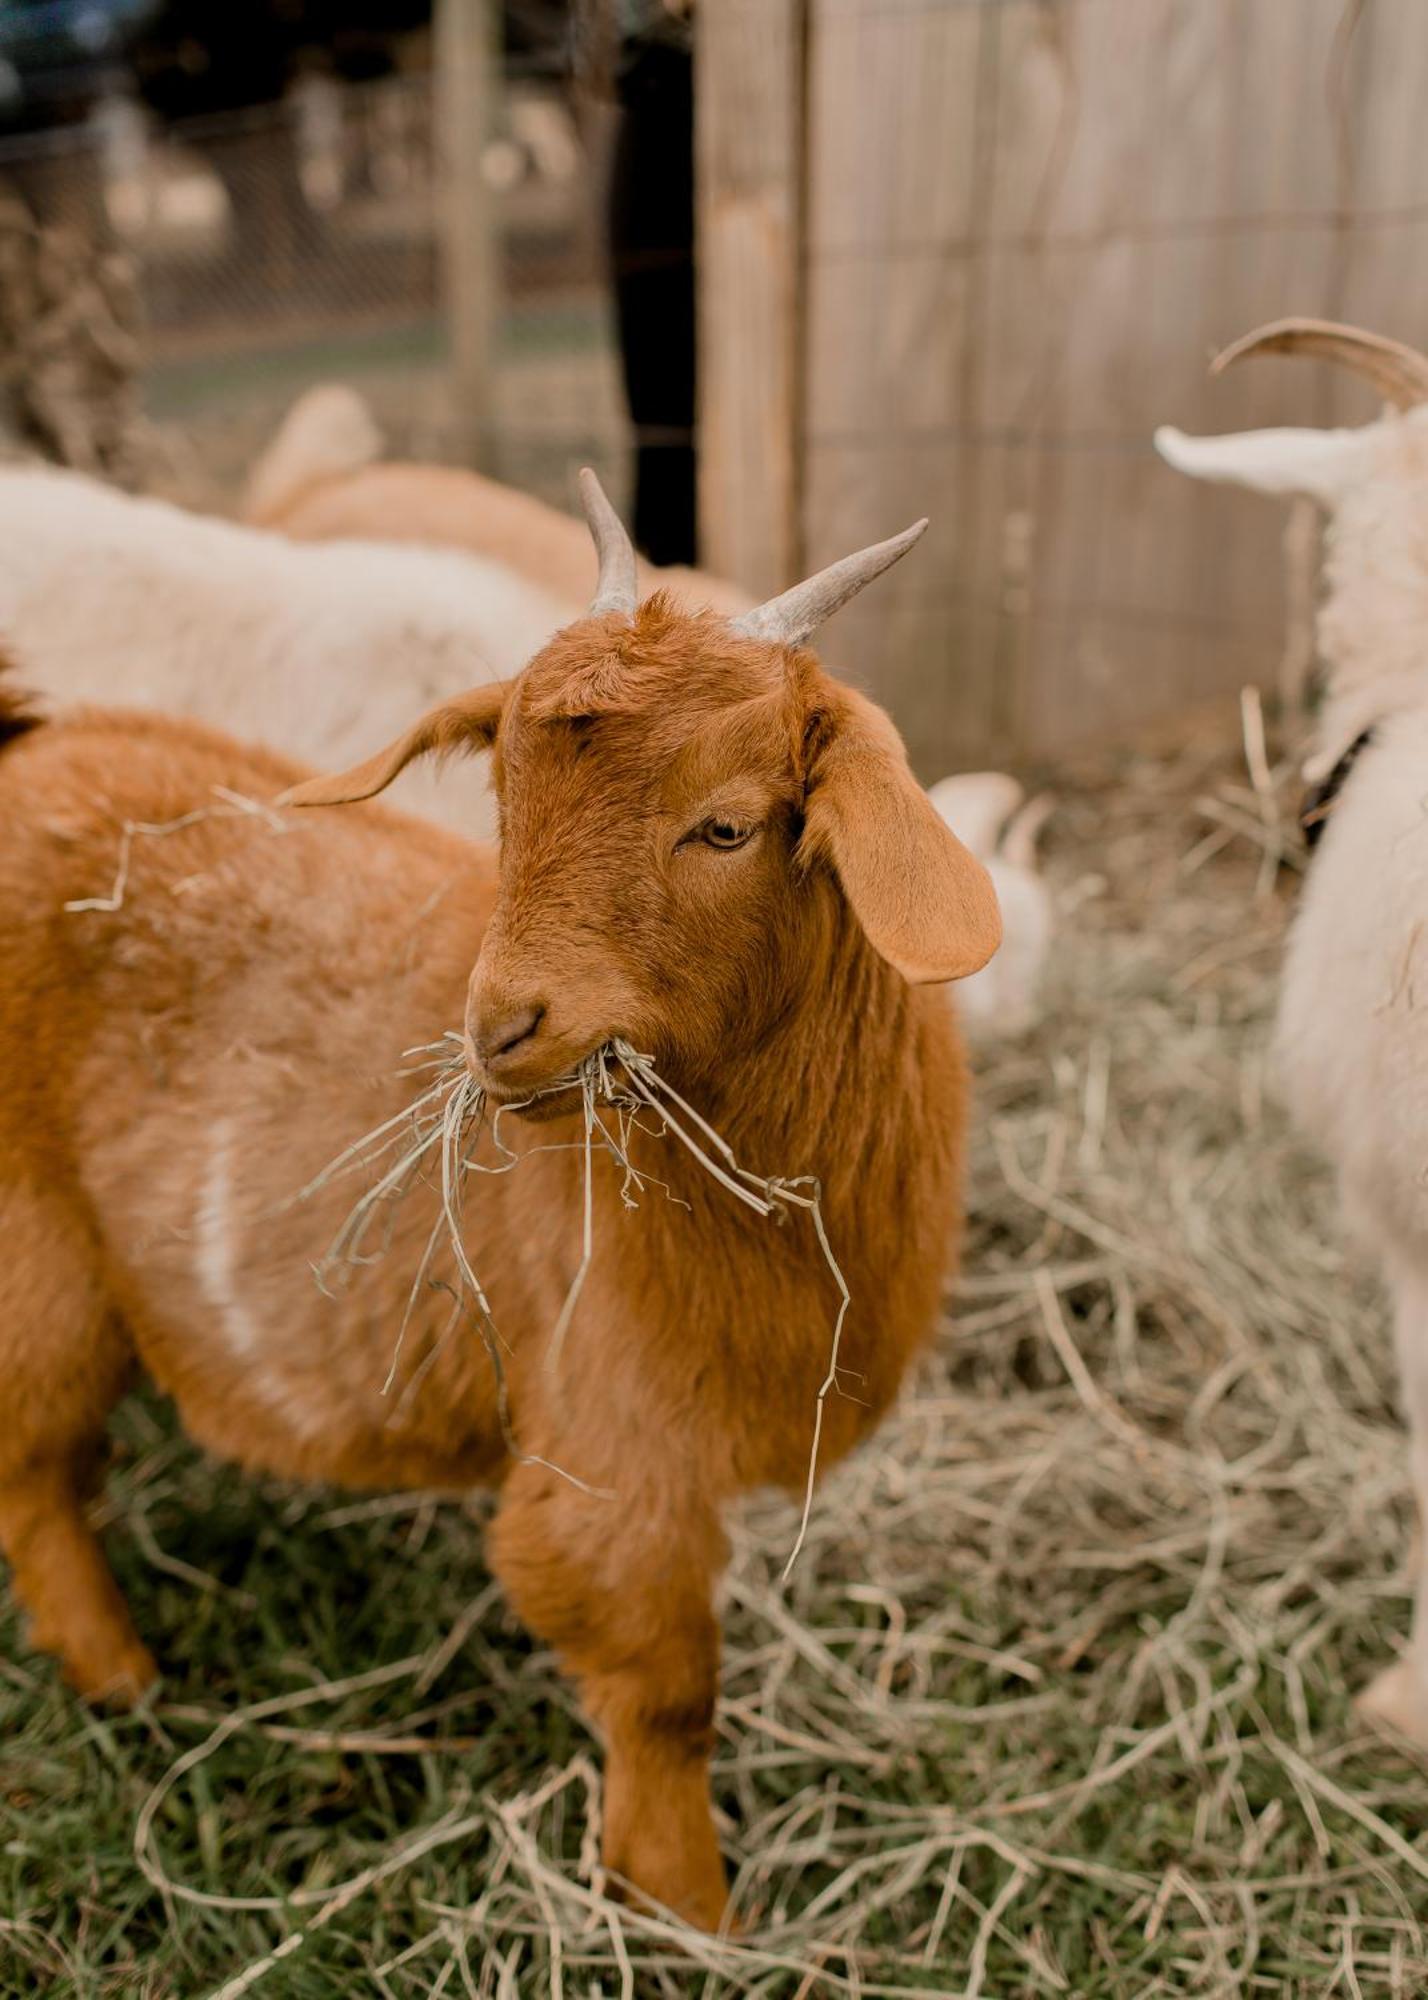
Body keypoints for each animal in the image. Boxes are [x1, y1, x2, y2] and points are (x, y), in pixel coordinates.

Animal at [0, 488, 996, 1936]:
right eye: (503, 791)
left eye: (727, 825)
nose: (503, 1025)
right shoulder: (616, 1451)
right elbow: (664, 1686)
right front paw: (689, 1912)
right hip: (38, 1259)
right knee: (33, 1471)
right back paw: (118, 1673)